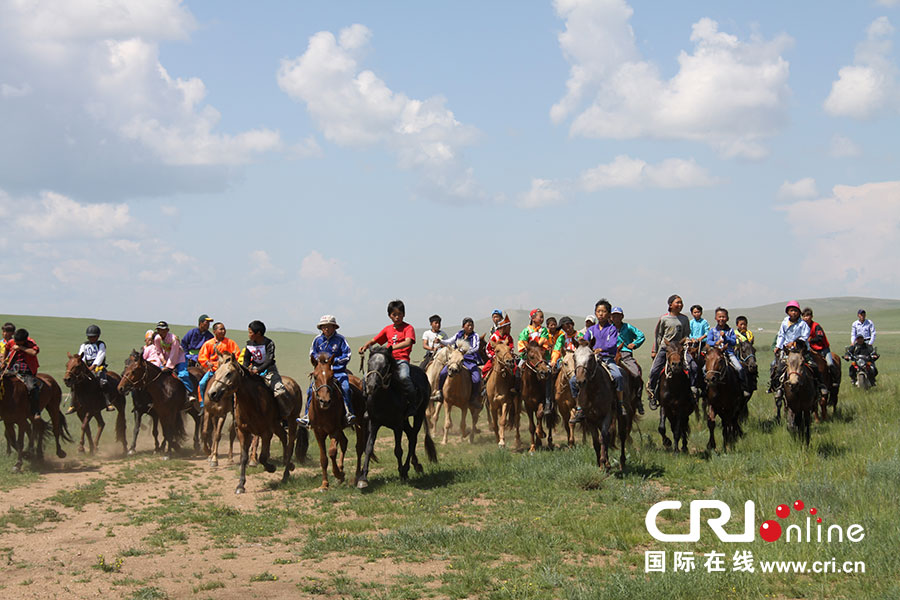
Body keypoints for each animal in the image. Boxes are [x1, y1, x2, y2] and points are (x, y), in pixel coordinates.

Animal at [206, 352, 304, 492]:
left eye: (228, 373)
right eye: (217, 372)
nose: (212, 393)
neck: (253, 402)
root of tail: (294, 384)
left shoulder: (266, 432)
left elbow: (262, 456)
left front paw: (271, 468)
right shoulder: (243, 431)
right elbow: (243, 457)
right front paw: (240, 485)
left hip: (292, 420)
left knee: (290, 444)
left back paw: (285, 474)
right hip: (276, 425)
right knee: (283, 437)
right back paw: (288, 464)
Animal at [308, 356, 368, 488]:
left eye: (331, 376)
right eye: (315, 376)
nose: (325, 401)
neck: (323, 411)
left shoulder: (334, 430)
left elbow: (332, 452)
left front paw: (338, 474)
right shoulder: (318, 432)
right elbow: (323, 458)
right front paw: (325, 484)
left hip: (360, 424)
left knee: (359, 448)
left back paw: (356, 476)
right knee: (344, 442)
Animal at [356, 344, 436, 490]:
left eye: (385, 365)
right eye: (369, 363)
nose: (371, 386)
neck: (384, 398)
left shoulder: (397, 425)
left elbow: (398, 450)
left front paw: (401, 473)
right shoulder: (374, 423)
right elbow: (368, 448)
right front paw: (363, 479)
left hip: (418, 415)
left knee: (413, 438)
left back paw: (407, 468)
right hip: (405, 421)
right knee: (410, 434)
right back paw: (415, 465)